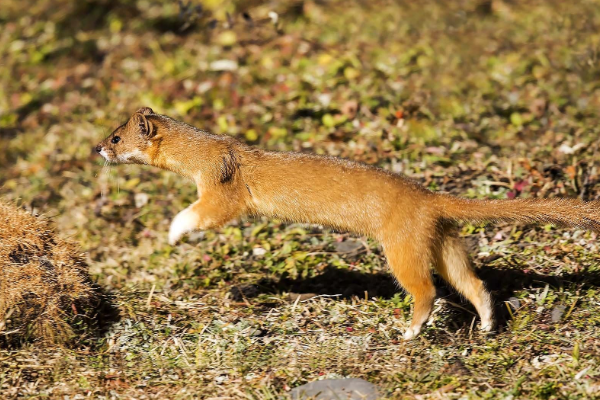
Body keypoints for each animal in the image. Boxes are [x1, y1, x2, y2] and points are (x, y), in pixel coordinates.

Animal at [96, 108, 600, 340]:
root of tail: (428, 197)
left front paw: (173, 230)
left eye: (116, 137)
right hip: (441, 238)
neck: (209, 150)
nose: (96, 149)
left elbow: (209, 211)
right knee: (470, 280)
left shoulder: (223, 185)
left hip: (401, 244)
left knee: (426, 290)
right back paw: (490, 324)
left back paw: (409, 331)